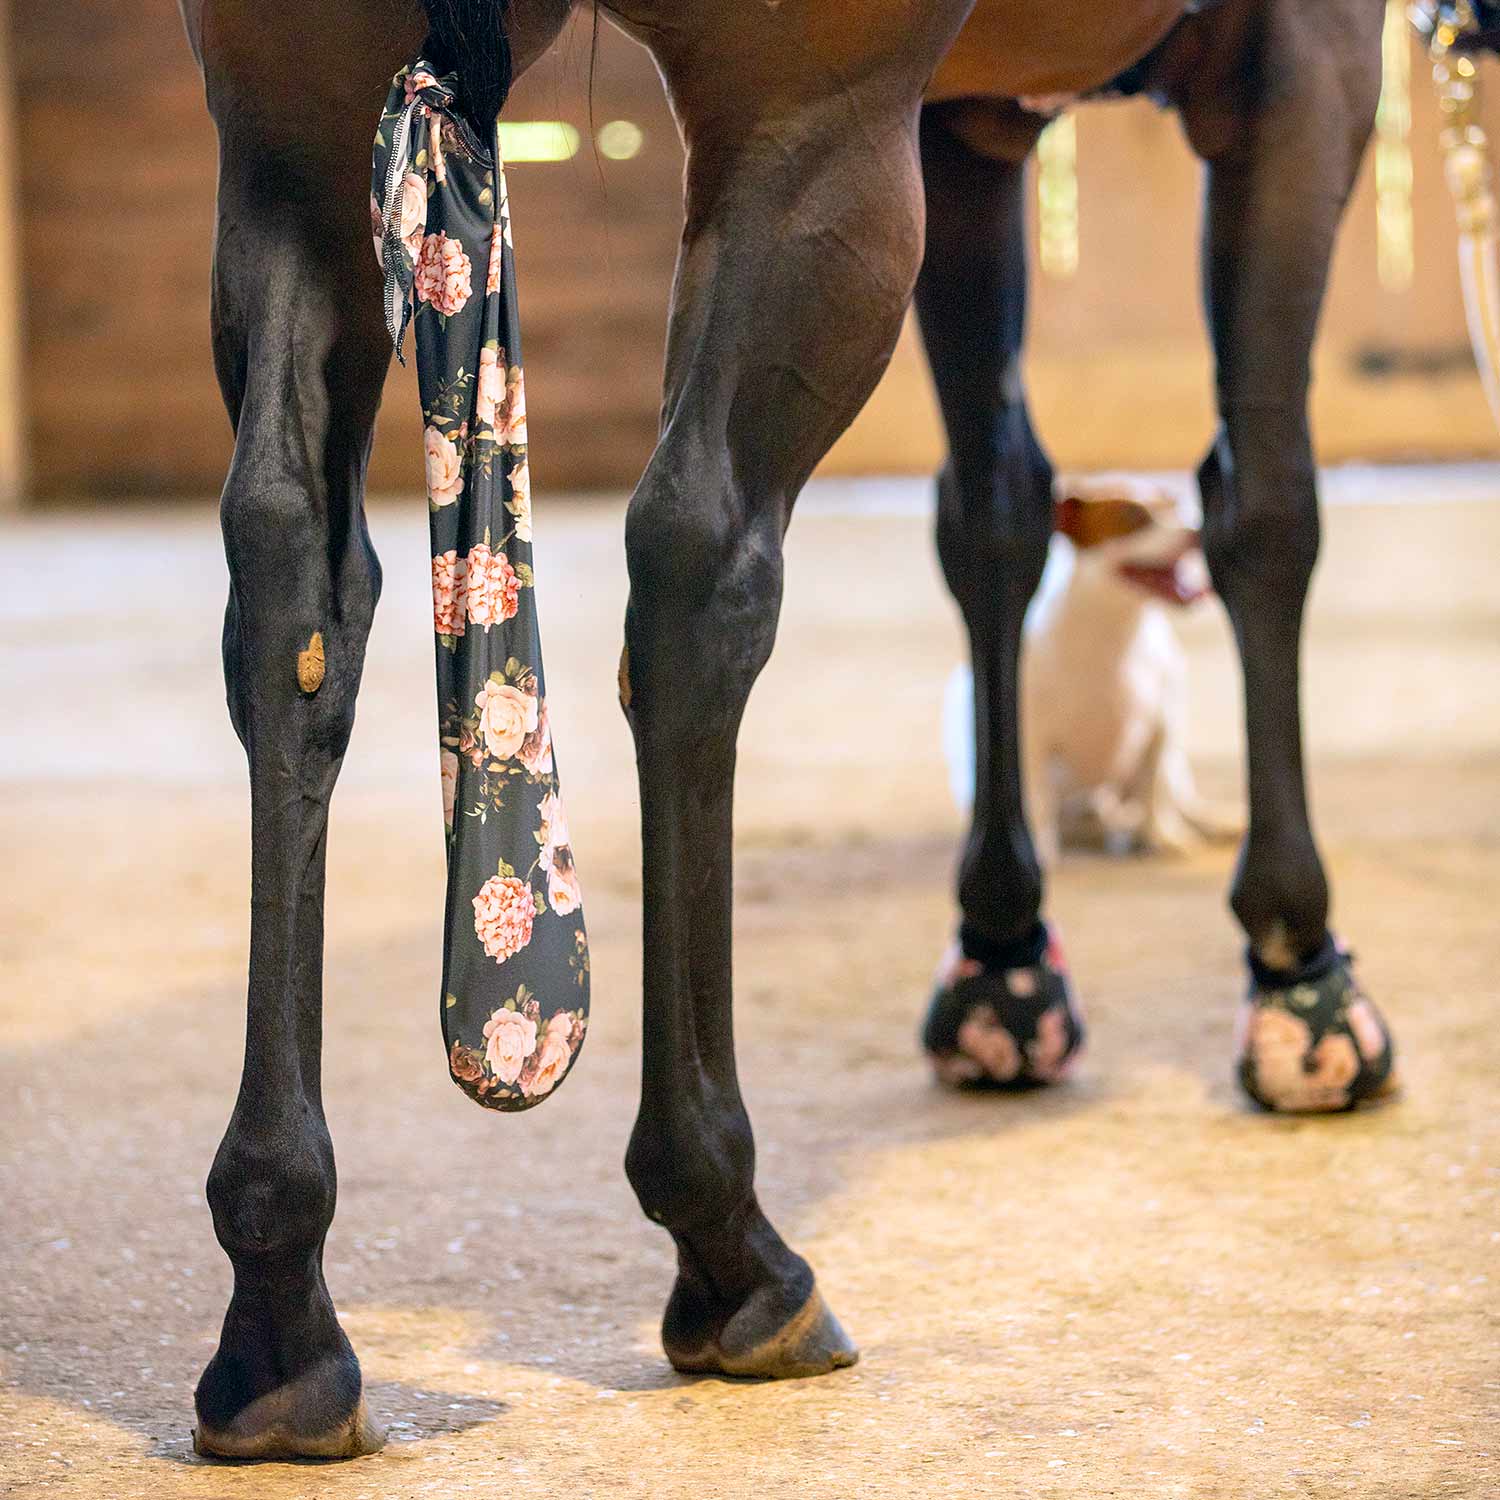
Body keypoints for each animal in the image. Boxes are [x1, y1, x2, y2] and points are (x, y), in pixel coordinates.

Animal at [177, 0, 1391, 1460]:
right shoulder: (1304, 61)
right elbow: (1266, 509)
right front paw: (1303, 977)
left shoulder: (973, 127)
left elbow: (994, 506)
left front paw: (1004, 962)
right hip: (807, 130)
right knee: (697, 565)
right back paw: (732, 1247)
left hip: (292, 127)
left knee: (291, 584)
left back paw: (279, 1310)